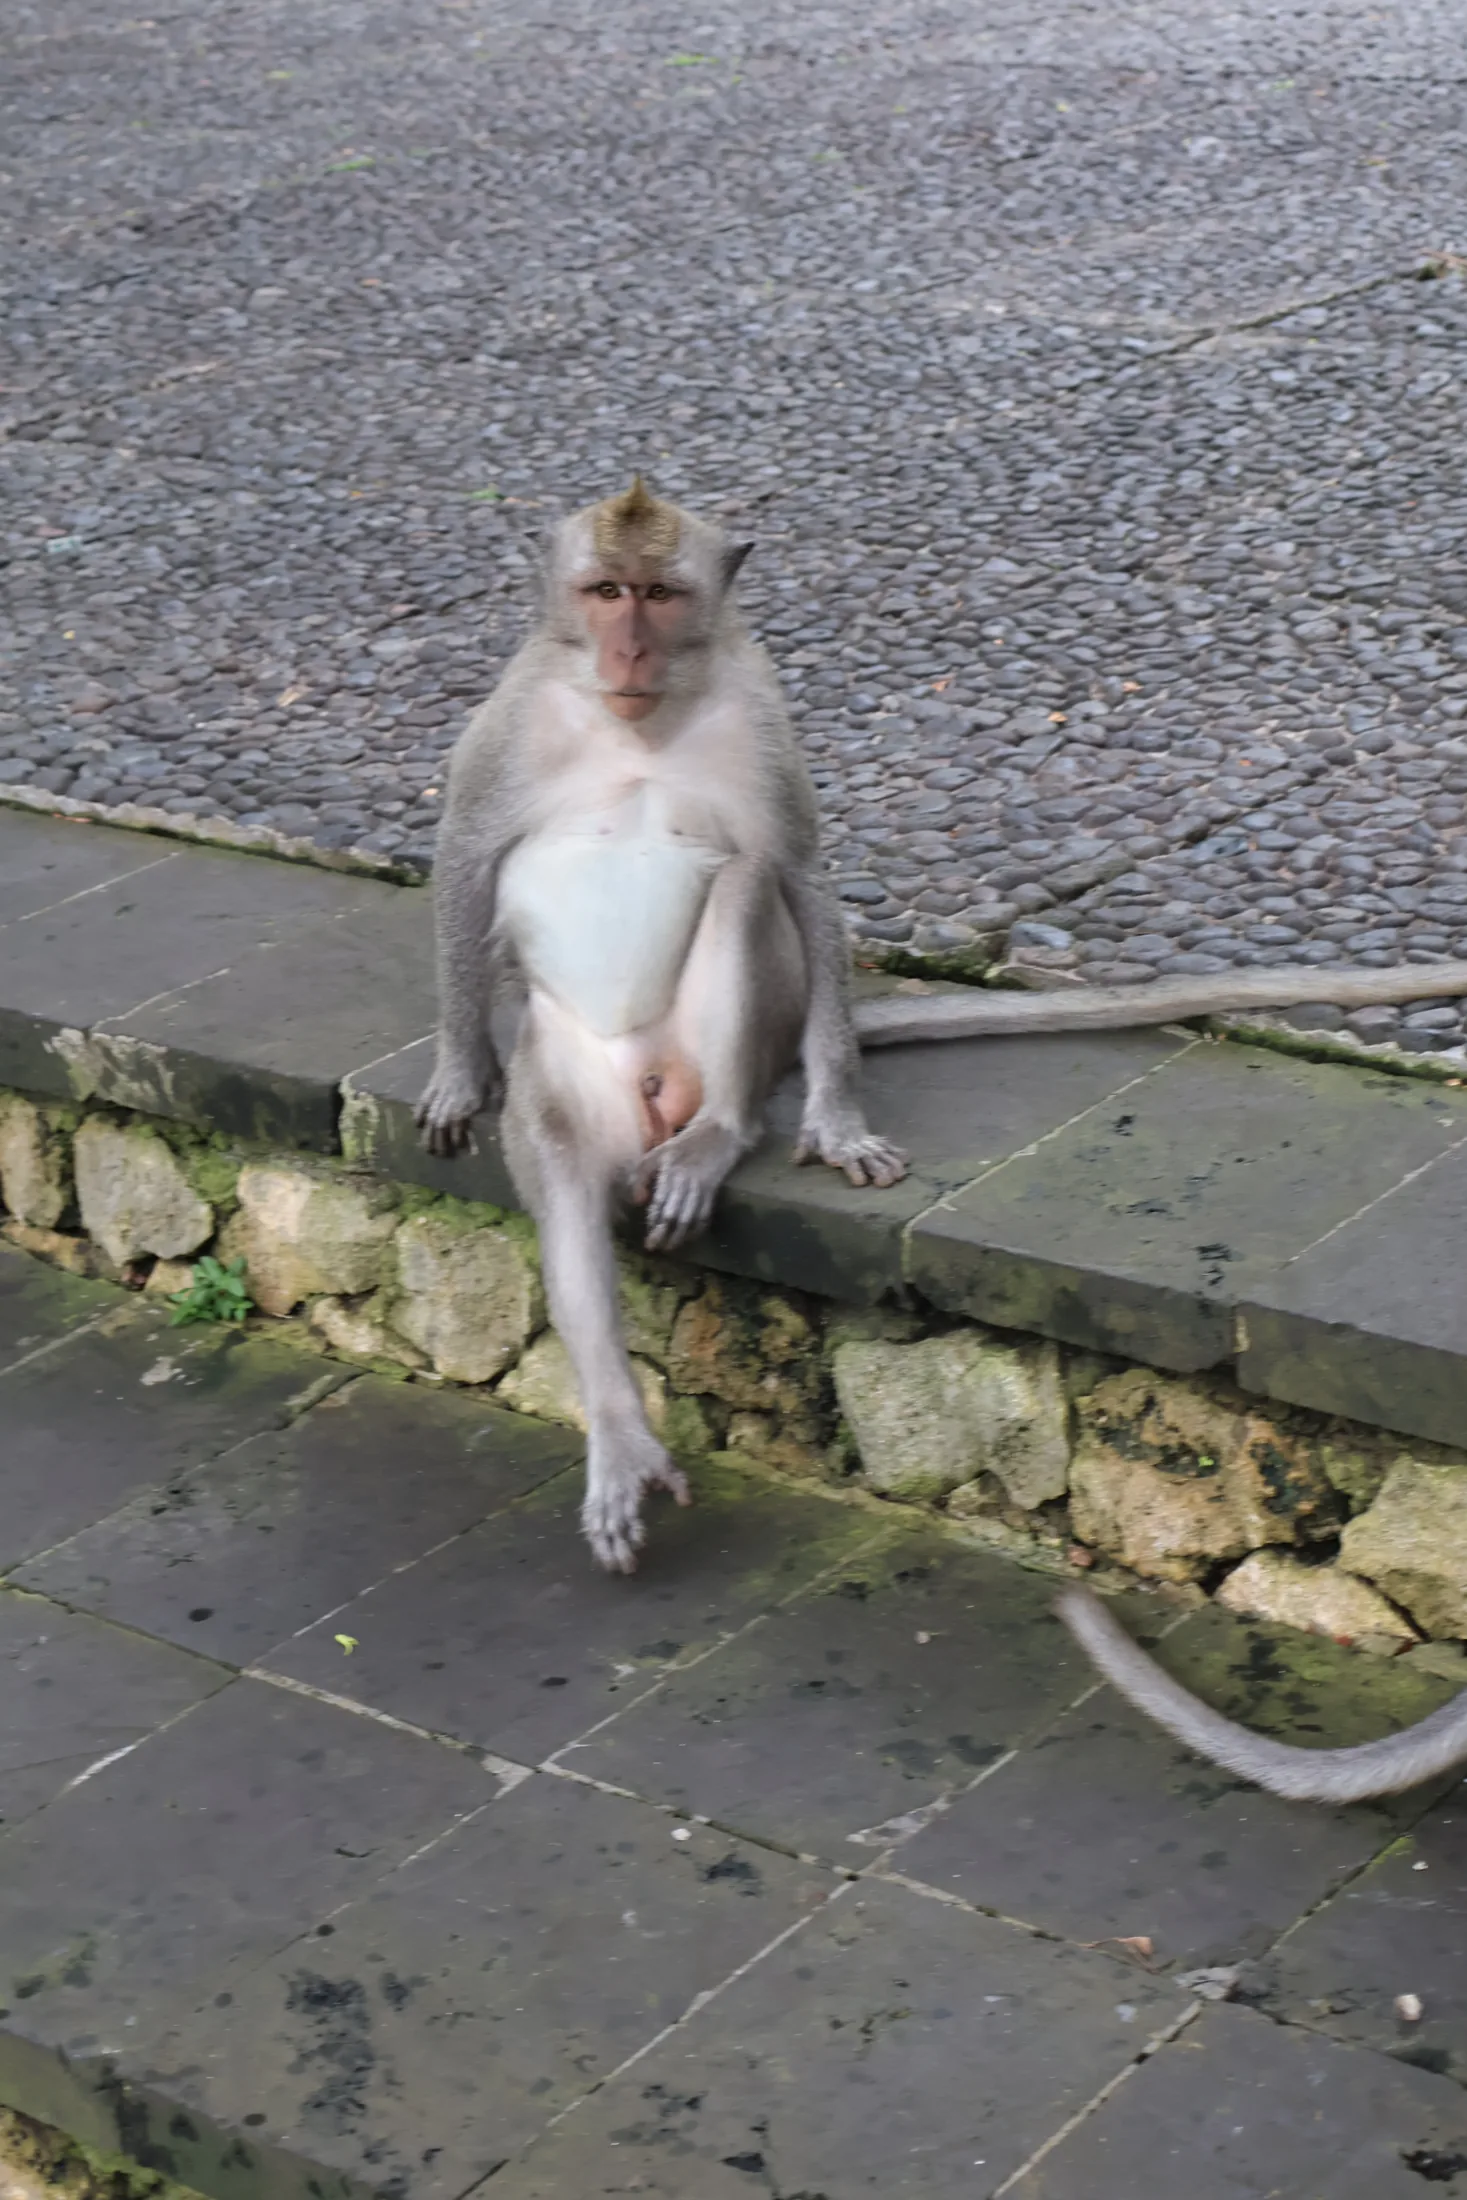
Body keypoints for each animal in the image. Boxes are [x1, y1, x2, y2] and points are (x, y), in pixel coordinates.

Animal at [416, 476, 1467, 1577]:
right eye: (604, 591)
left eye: (660, 596)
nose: (626, 653)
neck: (641, 721)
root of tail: (667, 1088)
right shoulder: (516, 711)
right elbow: (466, 852)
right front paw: (460, 1069)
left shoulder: (758, 710)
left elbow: (797, 871)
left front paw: (837, 1120)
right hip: (578, 1070)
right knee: (565, 1185)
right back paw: (618, 1426)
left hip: (729, 1050)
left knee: (747, 886)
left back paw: (717, 1138)